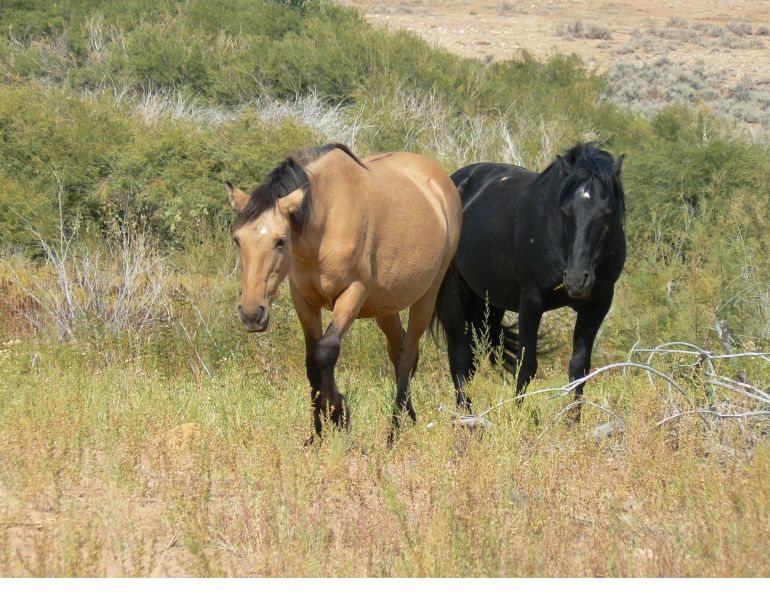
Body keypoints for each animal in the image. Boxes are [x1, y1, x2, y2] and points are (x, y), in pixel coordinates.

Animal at [227, 143, 462, 445]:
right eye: (237, 239)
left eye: (280, 241)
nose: (251, 314)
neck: (326, 219)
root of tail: (442, 183)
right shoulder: (303, 300)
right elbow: (312, 361)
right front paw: (317, 433)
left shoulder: (352, 293)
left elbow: (326, 351)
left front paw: (338, 414)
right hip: (386, 306)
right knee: (399, 353)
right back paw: (409, 419)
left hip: (426, 296)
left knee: (408, 354)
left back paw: (394, 431)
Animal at [431, 142, 626, 421]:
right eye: (565, 211)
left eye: (606, 213)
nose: (576, 279)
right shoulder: (531, 302)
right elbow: (527, 365)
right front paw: (520, 419)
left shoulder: (598, 304)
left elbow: (579, 368)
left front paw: (573, 422)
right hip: (453, 293)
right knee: (459, 355)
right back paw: (467, 420)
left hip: (488, 304)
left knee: (472, 356)